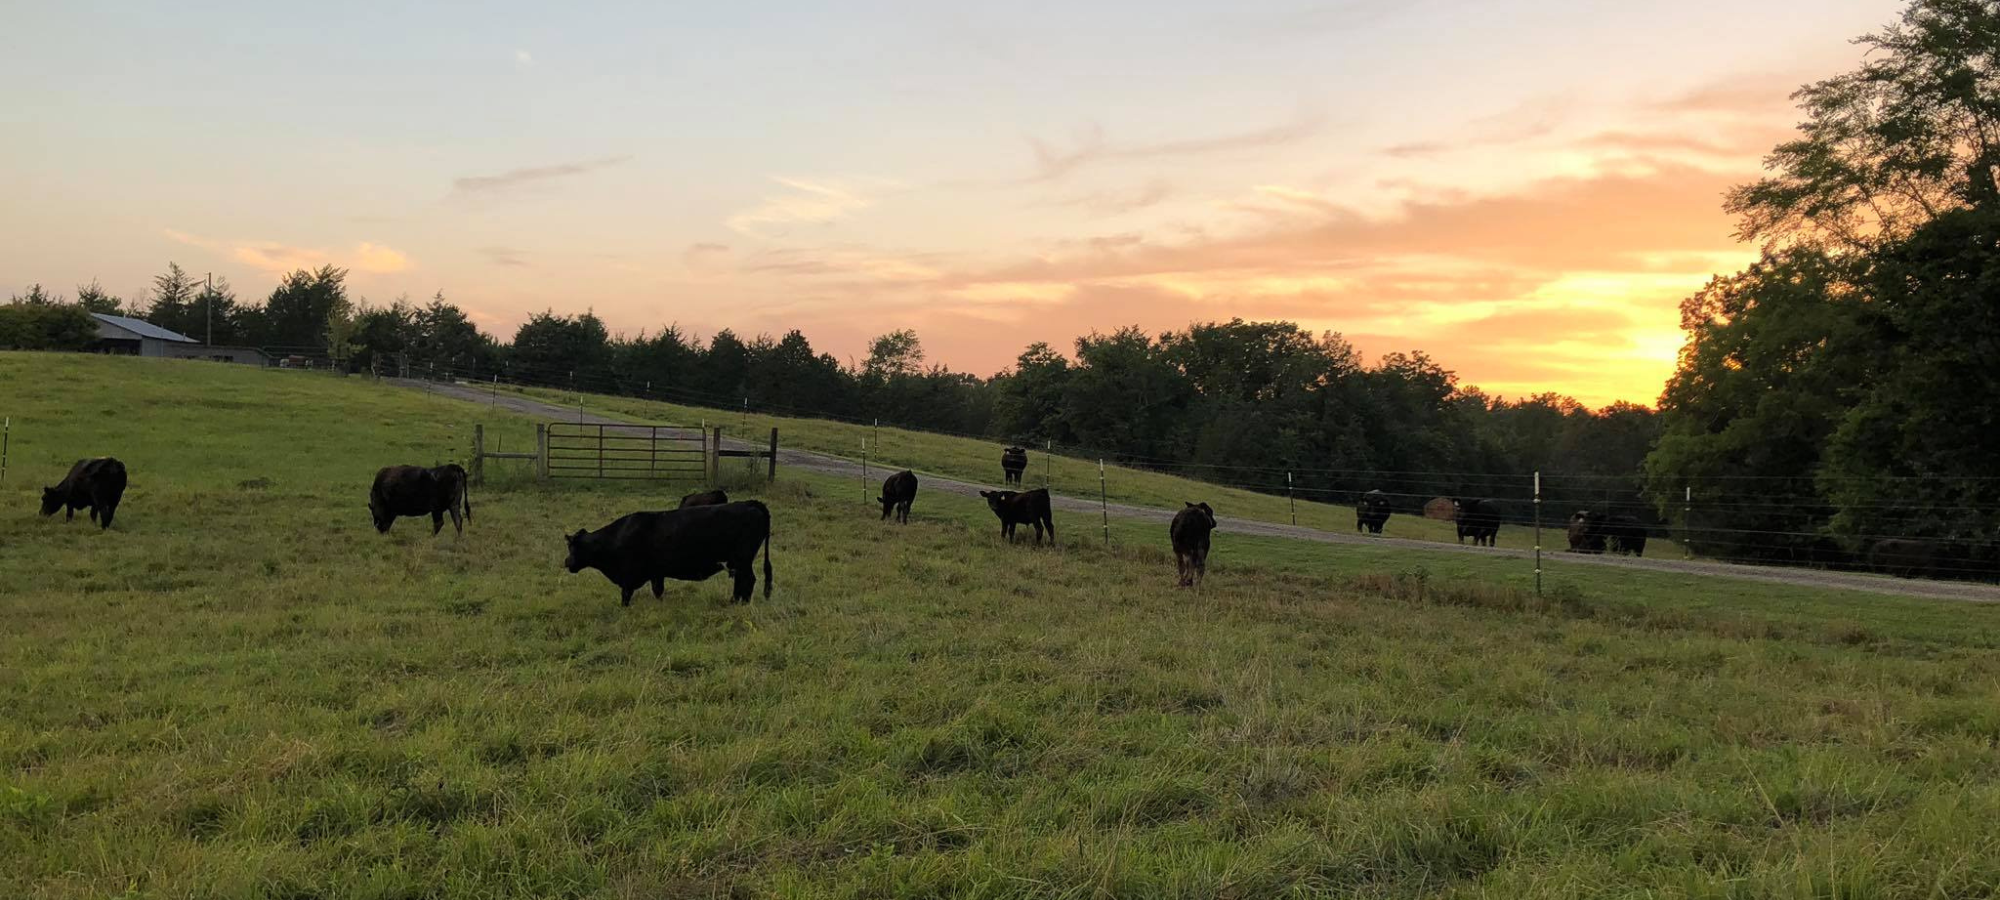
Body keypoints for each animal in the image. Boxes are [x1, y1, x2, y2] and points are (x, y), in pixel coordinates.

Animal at [572, 500, 780, 604]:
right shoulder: (656, 573)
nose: (567, 562)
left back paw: (741, 602)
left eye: (573, 548)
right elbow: (657, 590)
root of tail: (750, 503)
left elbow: (627, 594)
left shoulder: (630, 575)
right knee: (741, 580)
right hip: (737, 561)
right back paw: (734, 600)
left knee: (748, 579)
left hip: (743, 559)